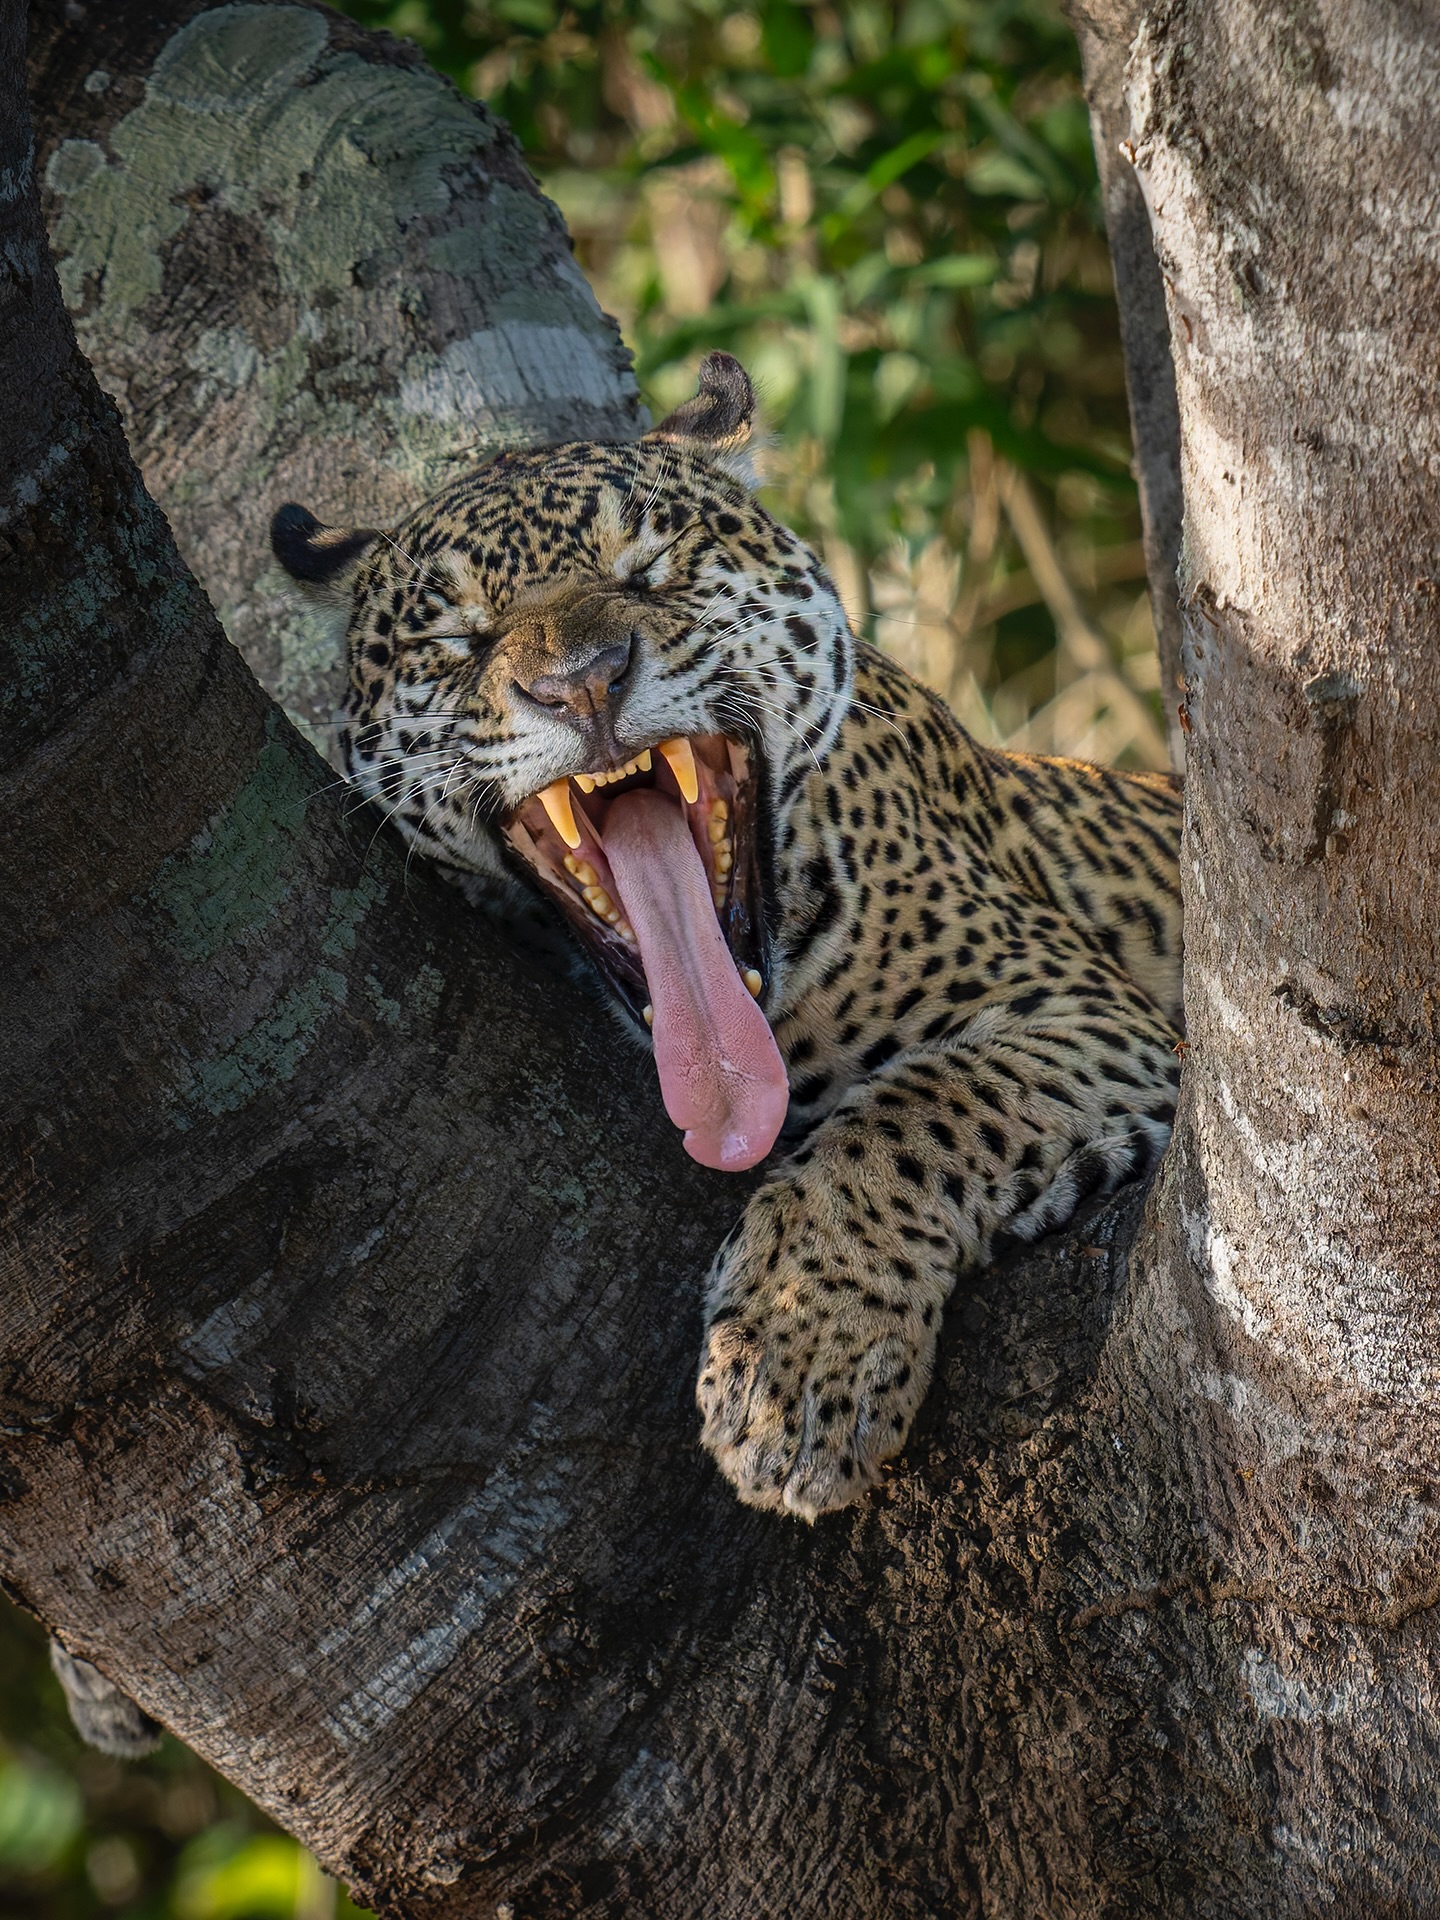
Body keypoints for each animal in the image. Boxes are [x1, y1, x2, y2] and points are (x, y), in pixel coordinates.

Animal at [273, 351, 1184, 1522]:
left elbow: (921, 1112)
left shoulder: (1093, 1012)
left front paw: (798, 1368)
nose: (583, 683)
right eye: (455, 639)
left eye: (651, 573)